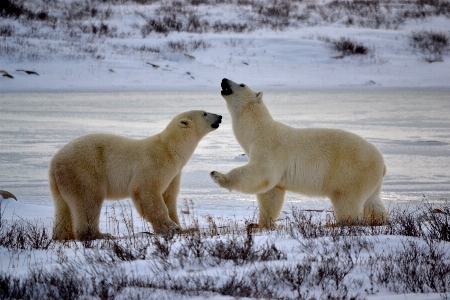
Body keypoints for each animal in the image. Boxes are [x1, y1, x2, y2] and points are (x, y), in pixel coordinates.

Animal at [50, 109, 222, 240]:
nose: (220, 116)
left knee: (64, 207)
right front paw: (171, 228)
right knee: (89, 199)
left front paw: (185, 228)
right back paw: (100, 235)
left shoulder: (175, 174)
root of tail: (54, 162)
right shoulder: (156, 163)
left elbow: (169, 197)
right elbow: (148, 192)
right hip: (84, 170)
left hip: (62, 180)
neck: (170, 148)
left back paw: (63, 236)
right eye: (205, 113)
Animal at [210, 79, 386, 227]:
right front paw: (260, 224)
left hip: (351, 173)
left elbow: (261, 173)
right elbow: (271, 193)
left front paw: (218, 176)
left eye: (241, 84)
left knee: (346, 201)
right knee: (373, 202)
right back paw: (379, 220)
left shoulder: (270, 149)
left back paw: (337, 223)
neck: (259, 131)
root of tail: (382, 163)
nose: (224, 79)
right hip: (370, 180)